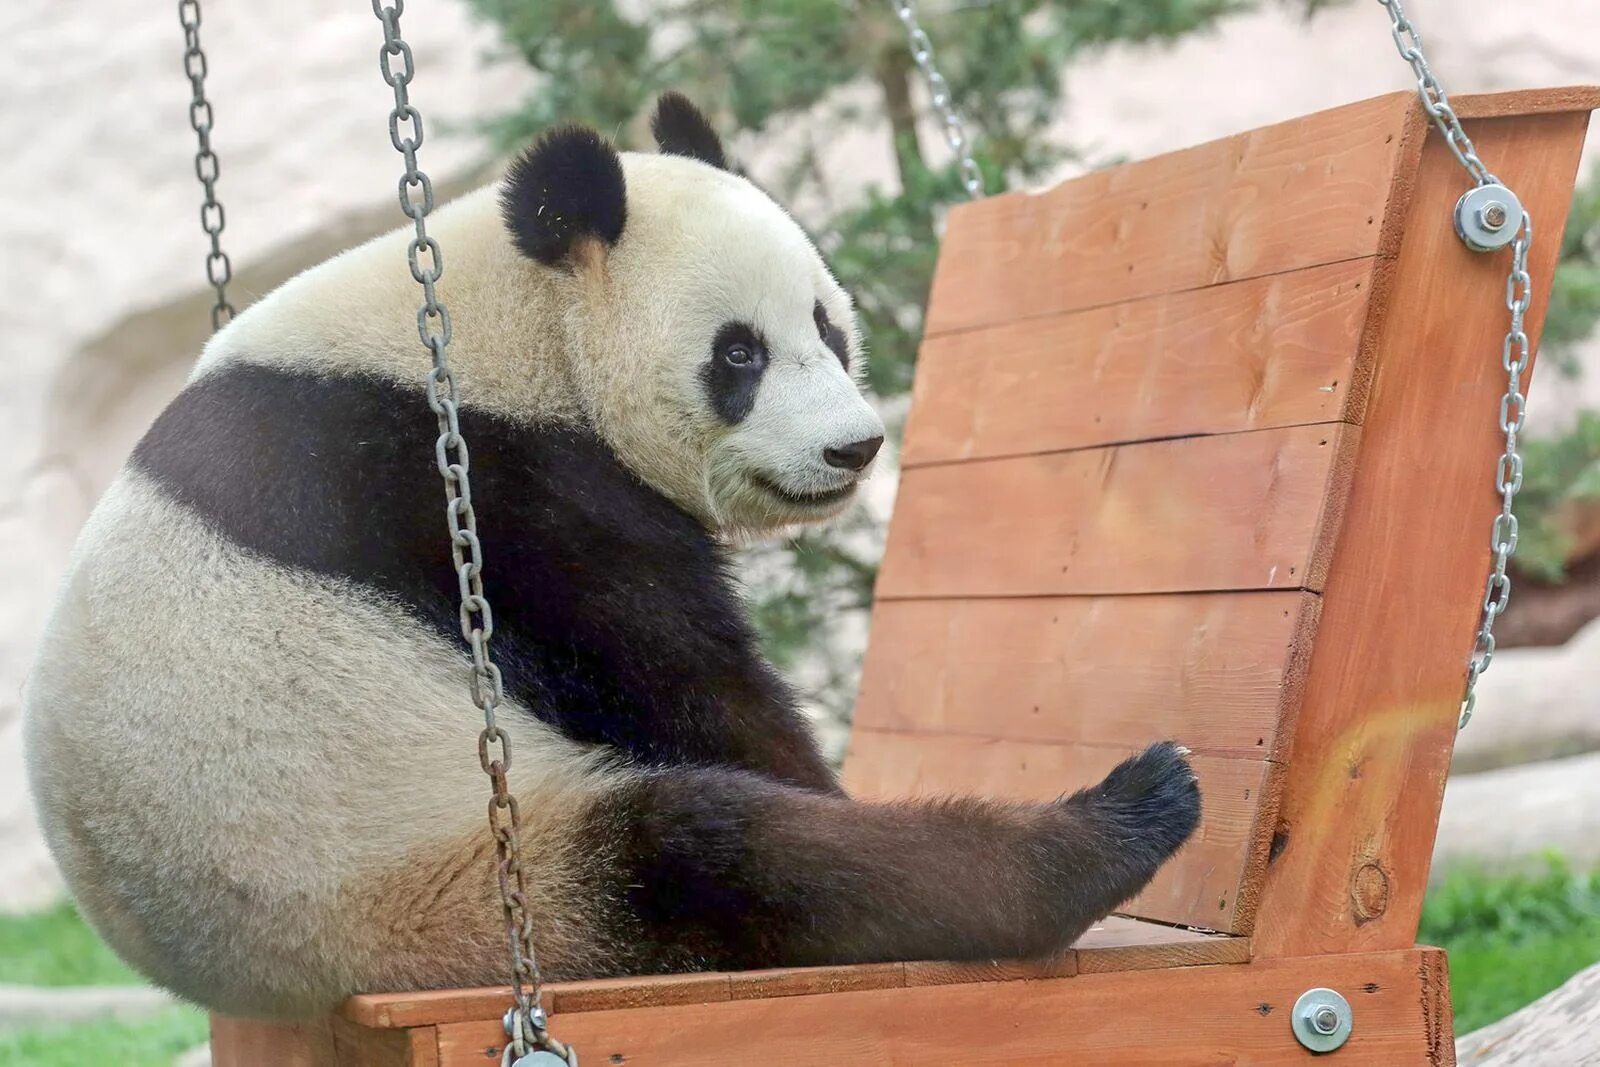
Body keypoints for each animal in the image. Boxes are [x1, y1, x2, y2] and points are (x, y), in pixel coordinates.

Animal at [25, 95, 1203, 1023]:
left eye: (828, 325)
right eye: (740, 353)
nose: (854, 448)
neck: (515, 322)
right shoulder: (483, 489)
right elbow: (681, 681)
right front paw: (815, 772)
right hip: (440, 870)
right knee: (719, 858)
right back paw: (1114, 823)